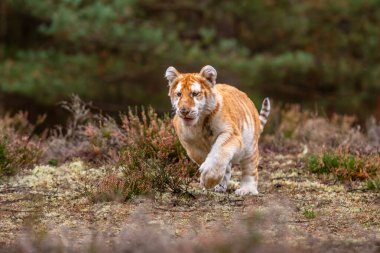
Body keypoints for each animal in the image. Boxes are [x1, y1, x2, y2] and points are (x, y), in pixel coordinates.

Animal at [164, 65, 270, 196]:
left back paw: (246, 190)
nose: (184, 111)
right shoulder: (189, 143)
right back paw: (220, 186)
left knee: (250, 170)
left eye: (194, 93)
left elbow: (219, 152)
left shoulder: (231, 133)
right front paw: (212, 181)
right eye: (179, 94)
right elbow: (204, 156)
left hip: (250, 148)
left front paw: (208, 179)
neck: (198, 124)